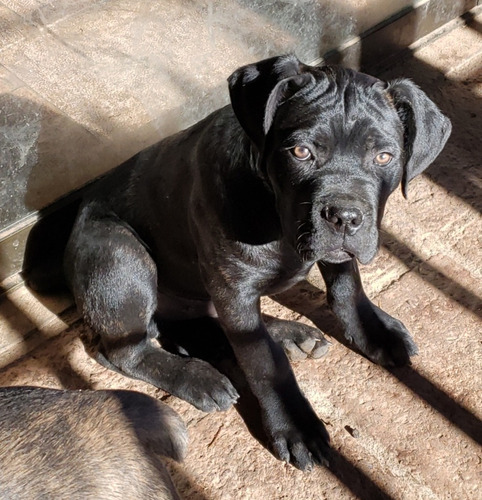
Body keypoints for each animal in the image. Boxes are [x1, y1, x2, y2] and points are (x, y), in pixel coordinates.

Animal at [63, 55, 452, 472]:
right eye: (300, 152)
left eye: (384, 157)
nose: (345, 217)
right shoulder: (233, 288)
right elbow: (263, 360)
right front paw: (296, 425)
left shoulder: (331, 257)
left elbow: (348, 287)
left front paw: (373, 331)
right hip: (120, 254)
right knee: (123, 350)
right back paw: (197, 376)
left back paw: (287, 335)